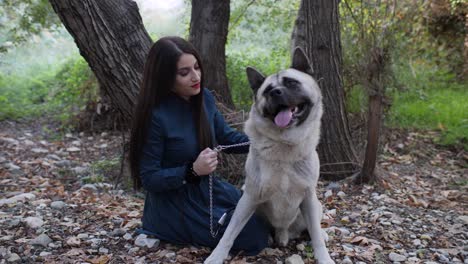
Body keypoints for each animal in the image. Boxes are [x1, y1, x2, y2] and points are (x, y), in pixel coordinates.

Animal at [204, 48, 332, 264]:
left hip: (315, 205)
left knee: (313, 227)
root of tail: (283, 231)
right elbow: (229, 233)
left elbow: (315, 235)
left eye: (291, 83)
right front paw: (216, 256)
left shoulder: (308, 197)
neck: (284, 144)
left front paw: (324, 257)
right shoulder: (250, 197)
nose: (275, 92)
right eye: (267, 90)